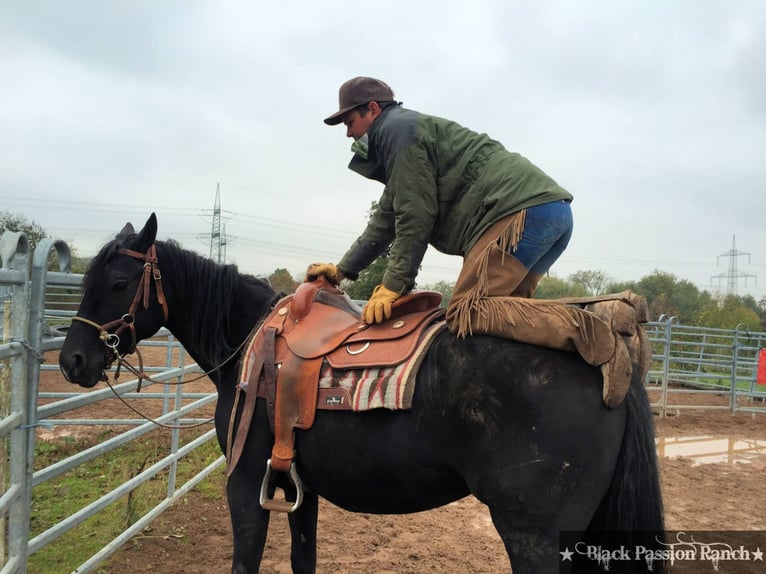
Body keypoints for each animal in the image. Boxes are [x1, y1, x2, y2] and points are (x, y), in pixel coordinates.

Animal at [60, 216, 664, 574]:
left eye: (118, 283)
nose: (72, 361)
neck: (250, 336)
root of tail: (610, 362)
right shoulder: (296, 487)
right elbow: (302, 557)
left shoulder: (246, 483)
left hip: (535, 535)